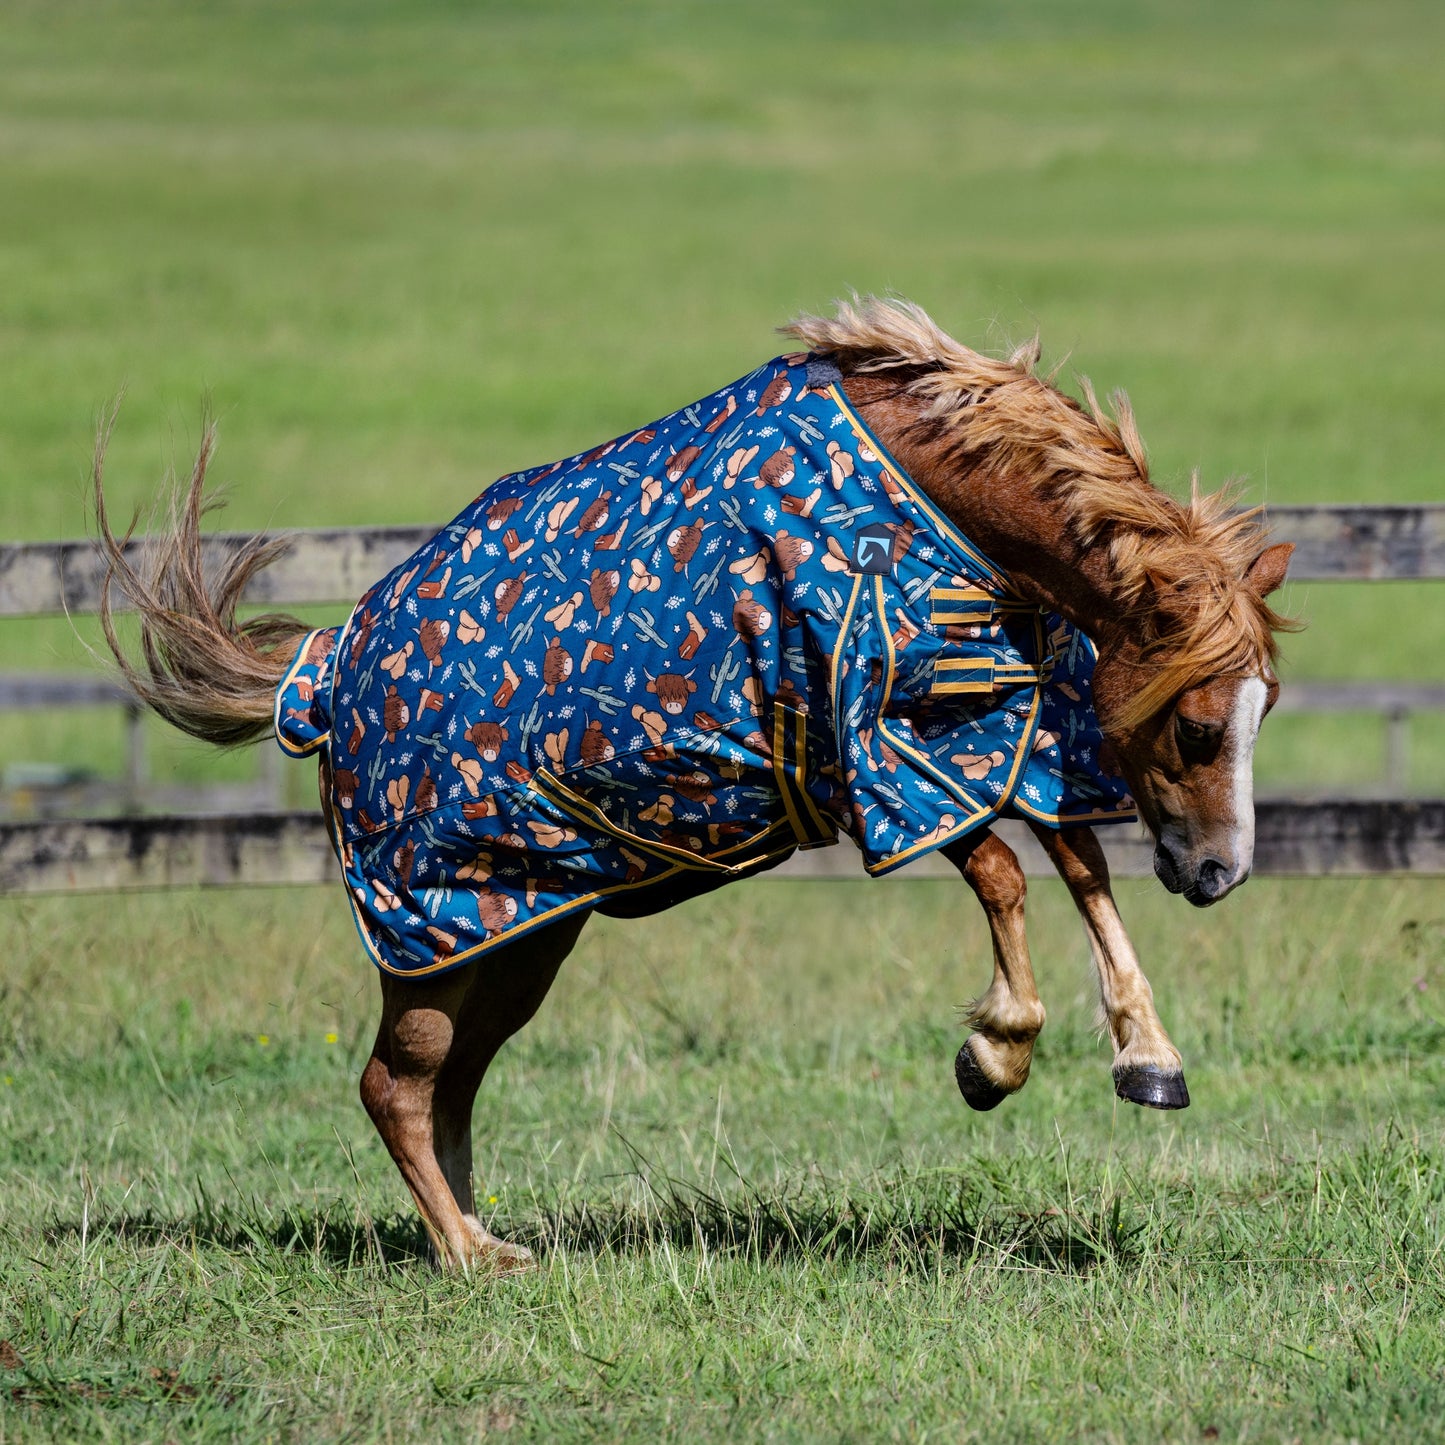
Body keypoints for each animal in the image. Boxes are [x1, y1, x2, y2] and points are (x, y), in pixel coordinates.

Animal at [93, 296, 1296, 1272]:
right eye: (1196, 726)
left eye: (1262, 709)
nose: (1218, 871)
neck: (927, 498)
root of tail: (326, 670)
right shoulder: (871, 750)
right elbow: (1003, 871)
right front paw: (992, 1054)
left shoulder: (988, 725)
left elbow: (1078, 862)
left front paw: (1147, 1057)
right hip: (438, 929)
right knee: (397, 1084)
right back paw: (468, 1255)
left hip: (520, 931)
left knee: (449, 1085)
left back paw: (480, 1233)